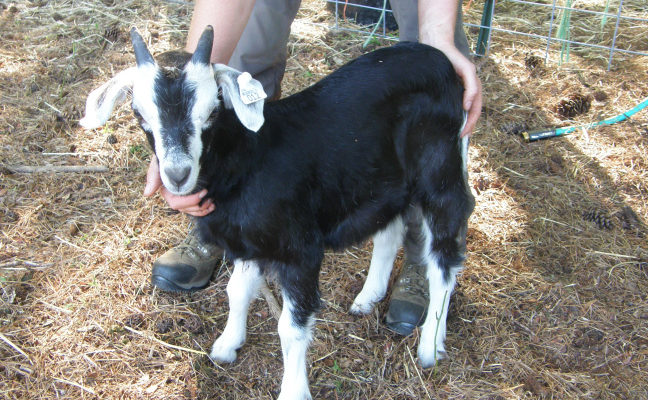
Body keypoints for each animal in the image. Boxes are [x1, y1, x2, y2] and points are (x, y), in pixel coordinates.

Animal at [81, 28, 476, 400]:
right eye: (139, 114)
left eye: (212, 111)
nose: (177, 175)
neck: (250, 158)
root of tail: (443, 61)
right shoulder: (250, 244)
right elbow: (237, 291)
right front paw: (227, 345)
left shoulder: (299, 251)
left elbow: (291, 327)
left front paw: (293, 390)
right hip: (383, 180)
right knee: (390, 230)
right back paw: (368, 298)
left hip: (440, 172)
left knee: (444, 259)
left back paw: (430, 346)